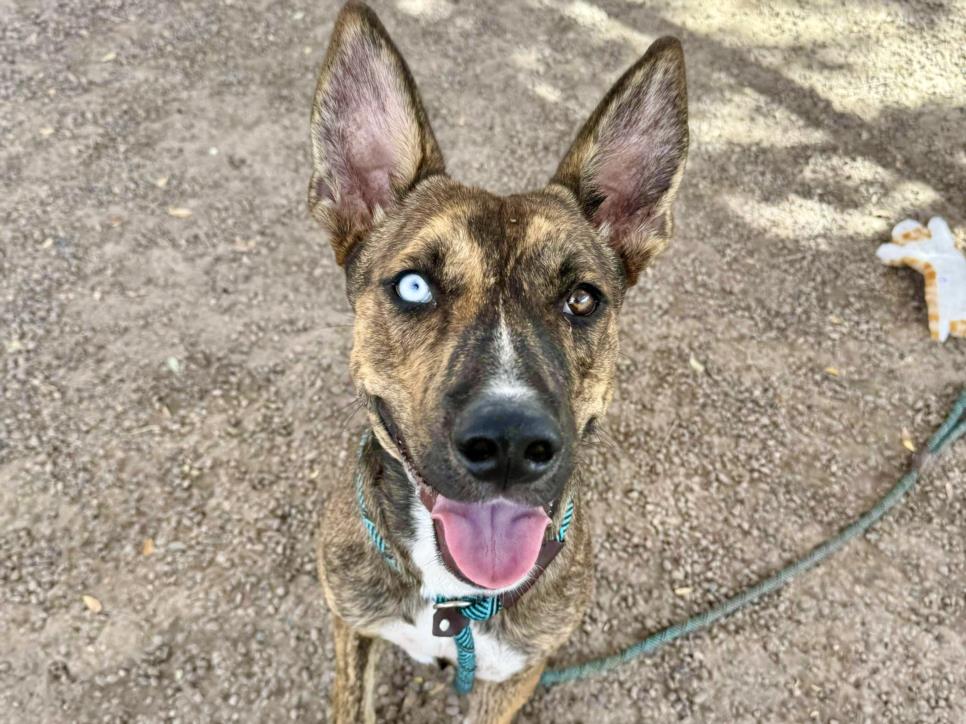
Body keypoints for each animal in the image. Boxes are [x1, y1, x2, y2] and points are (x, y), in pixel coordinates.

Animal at [310, 2, 688, 720]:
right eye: (414, 286)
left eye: (581, 298)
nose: (510, 443)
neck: (450, 597)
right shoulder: (350, 625)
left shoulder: (515, 673)